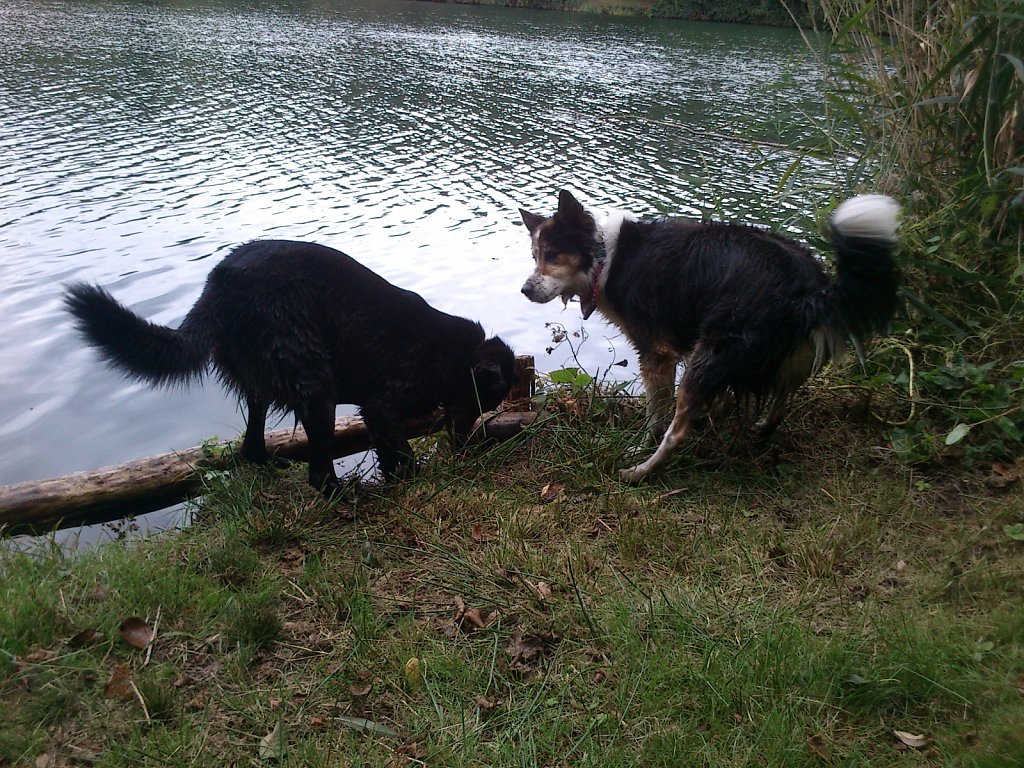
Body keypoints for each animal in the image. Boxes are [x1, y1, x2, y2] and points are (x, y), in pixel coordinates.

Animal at [67, 239, 516, 499]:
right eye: (479, 399)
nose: (462, 445)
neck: (456, 355)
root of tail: (220, 283)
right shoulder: (382, 404)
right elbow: (400, 449)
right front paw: (418, 477)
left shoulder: (376, 415)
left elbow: (390, 453)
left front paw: (400, 479)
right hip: (317, 388)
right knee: (318, 474)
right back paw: (345, 495)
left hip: (262, 386)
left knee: (251, 446)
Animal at [520, 190, 897, 483]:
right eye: (535, 256)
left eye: (552, 255)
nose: (524, 290)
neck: (605, 259)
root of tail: (806, 291)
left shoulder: (657, 353)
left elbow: (656, 413)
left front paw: (639, 446)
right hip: (787, 357)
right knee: (781, 399)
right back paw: (760, 430)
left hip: (713, 351)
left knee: (677, 431)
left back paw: (642, 472)